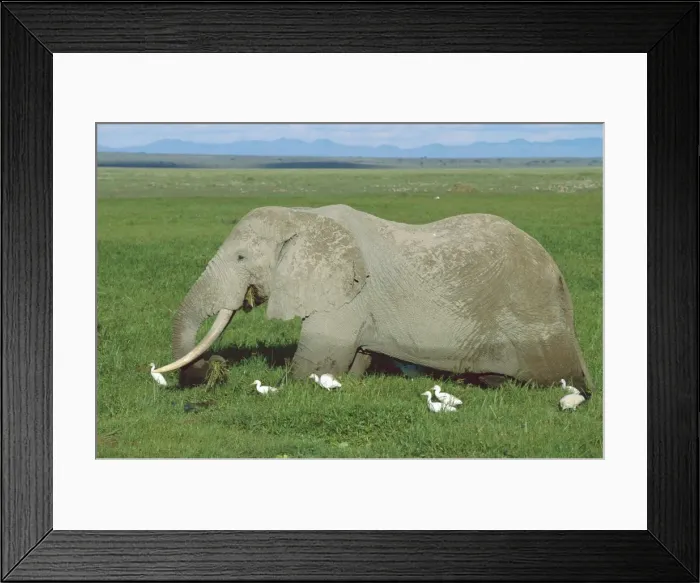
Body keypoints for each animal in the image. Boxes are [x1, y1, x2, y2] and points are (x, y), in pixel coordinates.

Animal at [153, 204, 594, 397]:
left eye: (241, 259)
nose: (216, 366)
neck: (303, 216)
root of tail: (558, 277)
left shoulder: (348, 295)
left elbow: (315, 364)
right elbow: (352, 361)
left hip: (532, 318)